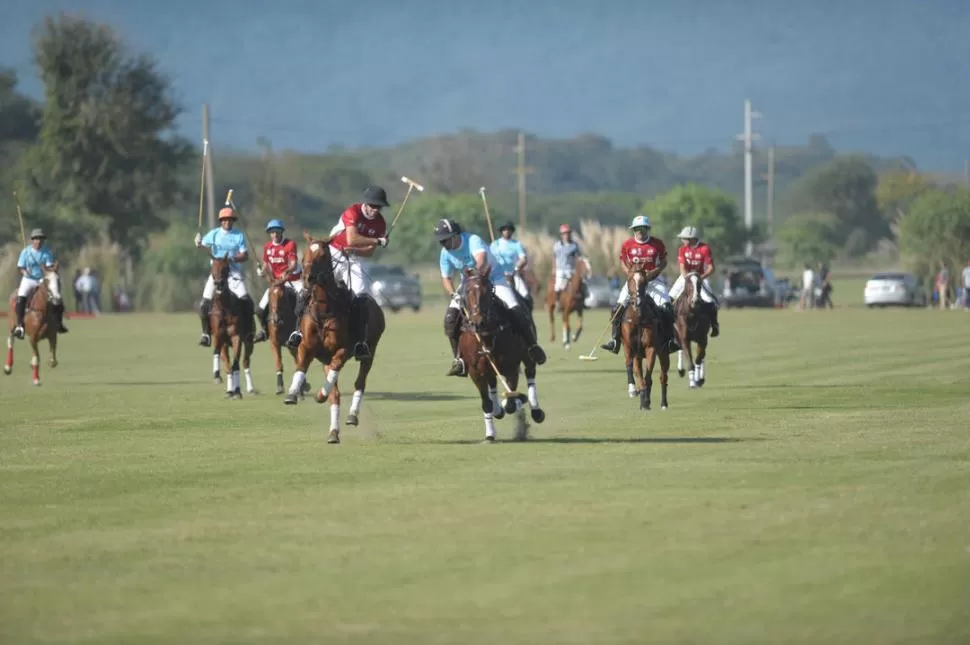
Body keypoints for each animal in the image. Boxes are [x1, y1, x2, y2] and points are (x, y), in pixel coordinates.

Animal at [208, 255, 255, 398]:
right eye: (212, 268)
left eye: (226, 268)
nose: (219, 283)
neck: (224, 308)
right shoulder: (219, 338)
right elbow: (227, 365)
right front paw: (229, 389)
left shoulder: (236, 337)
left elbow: (235, 365)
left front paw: (237, 391)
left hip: (249, 342)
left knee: (245, 362)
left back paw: (249, 389)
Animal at [282, 234, 384, 446]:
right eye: (305, 253)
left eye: (322, 255)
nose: (307, 278)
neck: (324, 310)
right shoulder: (307, 347)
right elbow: (301, 367)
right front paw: (292, 394)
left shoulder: (343, 350)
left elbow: (337, 369)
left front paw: (320, 394)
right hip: (325, 360)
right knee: (335, 394)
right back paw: (333, 432)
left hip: (370, 352)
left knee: (359, 383)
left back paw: (352, 415)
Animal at [456, 266, 540, 442]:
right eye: (467, 291)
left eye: (488, 290)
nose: (478, 322)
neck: (487, 335)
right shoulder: (475, 371)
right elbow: (486, 403)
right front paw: (490, 434)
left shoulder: (511, 366)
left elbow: (511, 403)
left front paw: (516, 402)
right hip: (488, 367)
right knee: (493, 383)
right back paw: (498, 409)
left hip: (528, 355)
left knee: (531, 373)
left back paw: (535, 410)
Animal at [624, 268, 668, 410]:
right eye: (629, 279)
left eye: (644, 281)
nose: (637, 302)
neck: (638, 319)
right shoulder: (631, 348)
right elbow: (634, 370)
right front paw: (635, 391)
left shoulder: (651, 348)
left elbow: (648, 378)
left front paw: (646, 401)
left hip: (664, 352)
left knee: (663, 376)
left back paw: (664, 404)